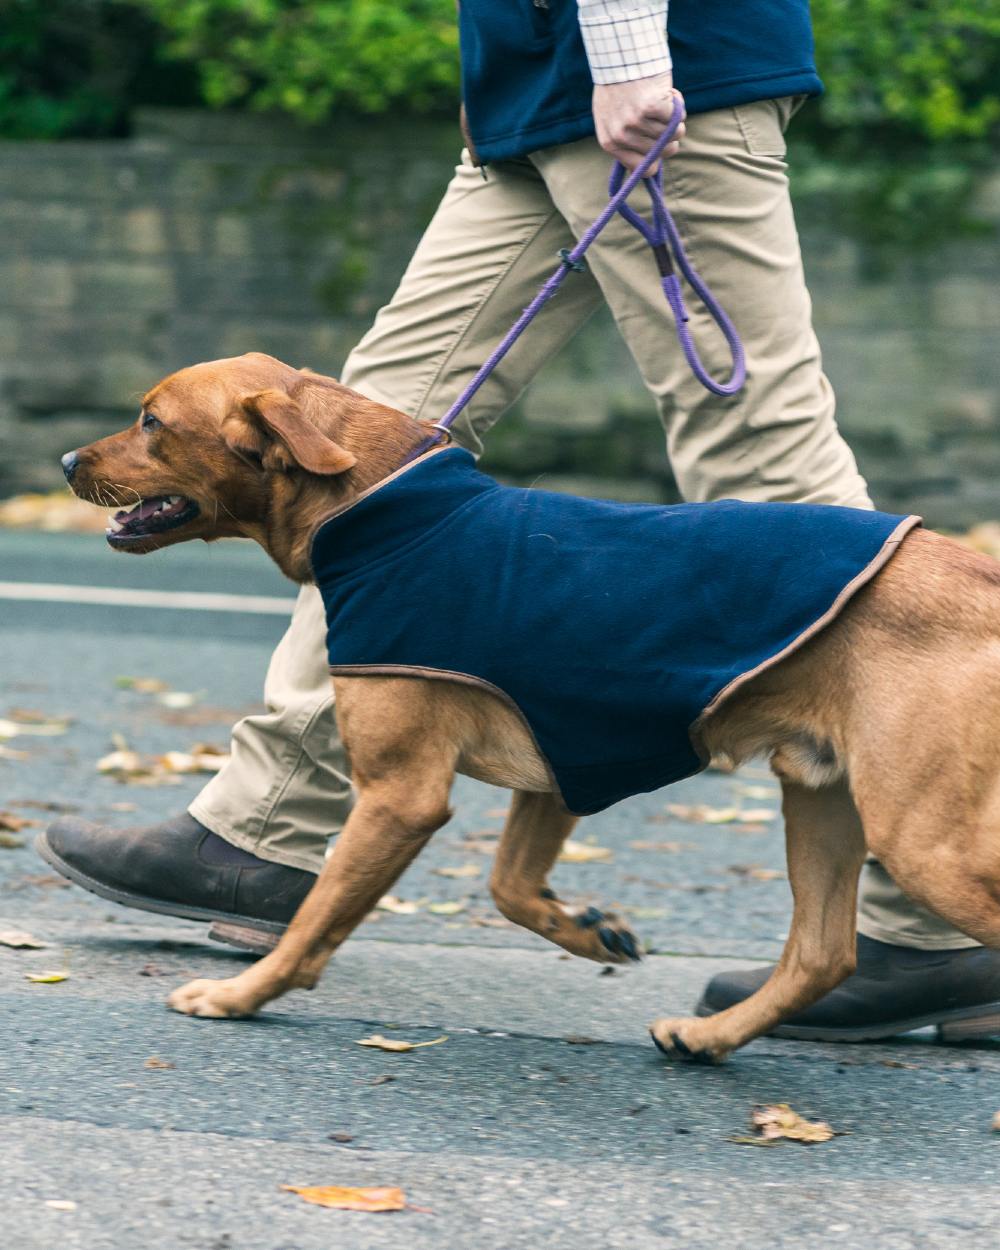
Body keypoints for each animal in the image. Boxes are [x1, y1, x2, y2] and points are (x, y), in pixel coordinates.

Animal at [58, 355, 1000, 1065]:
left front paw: (241, 995)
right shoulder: (562, 762)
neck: (380, 507)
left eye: (151, 421)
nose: (66, 462)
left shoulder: (403, 794)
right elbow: (510, 888)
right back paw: (708, 1036)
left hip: (920, 837)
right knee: (822, 954)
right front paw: (590, 931)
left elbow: (315, 920)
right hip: (824, 799)